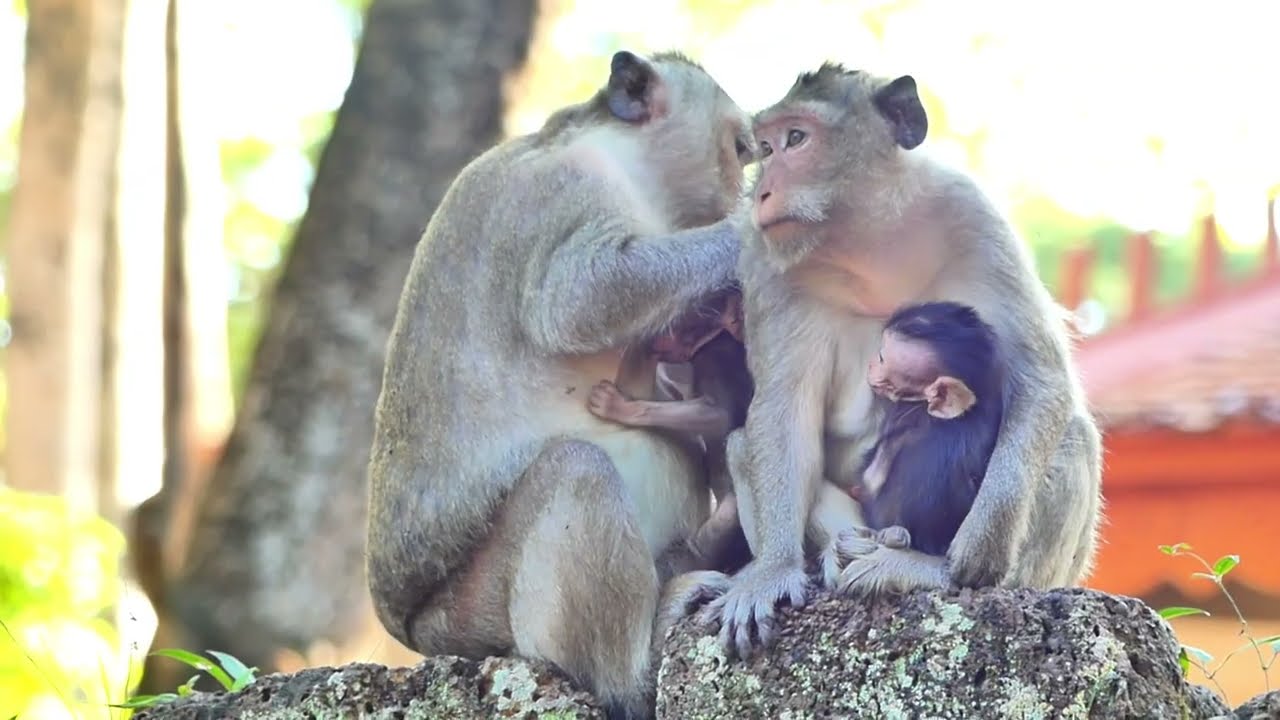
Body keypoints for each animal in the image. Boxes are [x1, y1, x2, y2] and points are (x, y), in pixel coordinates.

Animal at [364, 50, 757, 719]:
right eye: (738, 148)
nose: (738, 189)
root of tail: (412, 631)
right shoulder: (568, 192)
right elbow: (579, 298)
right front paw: (754, 231)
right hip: (473, 617)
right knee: (576, 470)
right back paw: (638, 665)